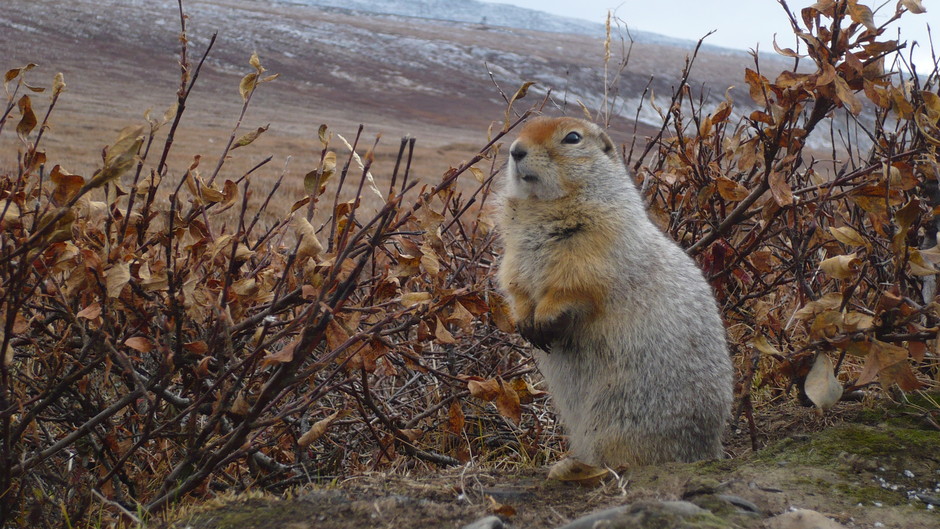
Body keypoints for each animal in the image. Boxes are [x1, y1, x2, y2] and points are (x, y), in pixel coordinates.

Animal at [500, 116, 736, 466]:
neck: (541, 207)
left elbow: (576, 286)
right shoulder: (514, 253)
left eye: (572, 138)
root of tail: (709, 450)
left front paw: (544, 317)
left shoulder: (598, 244)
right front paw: (524, 321)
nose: (516, 150)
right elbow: (514, 283)